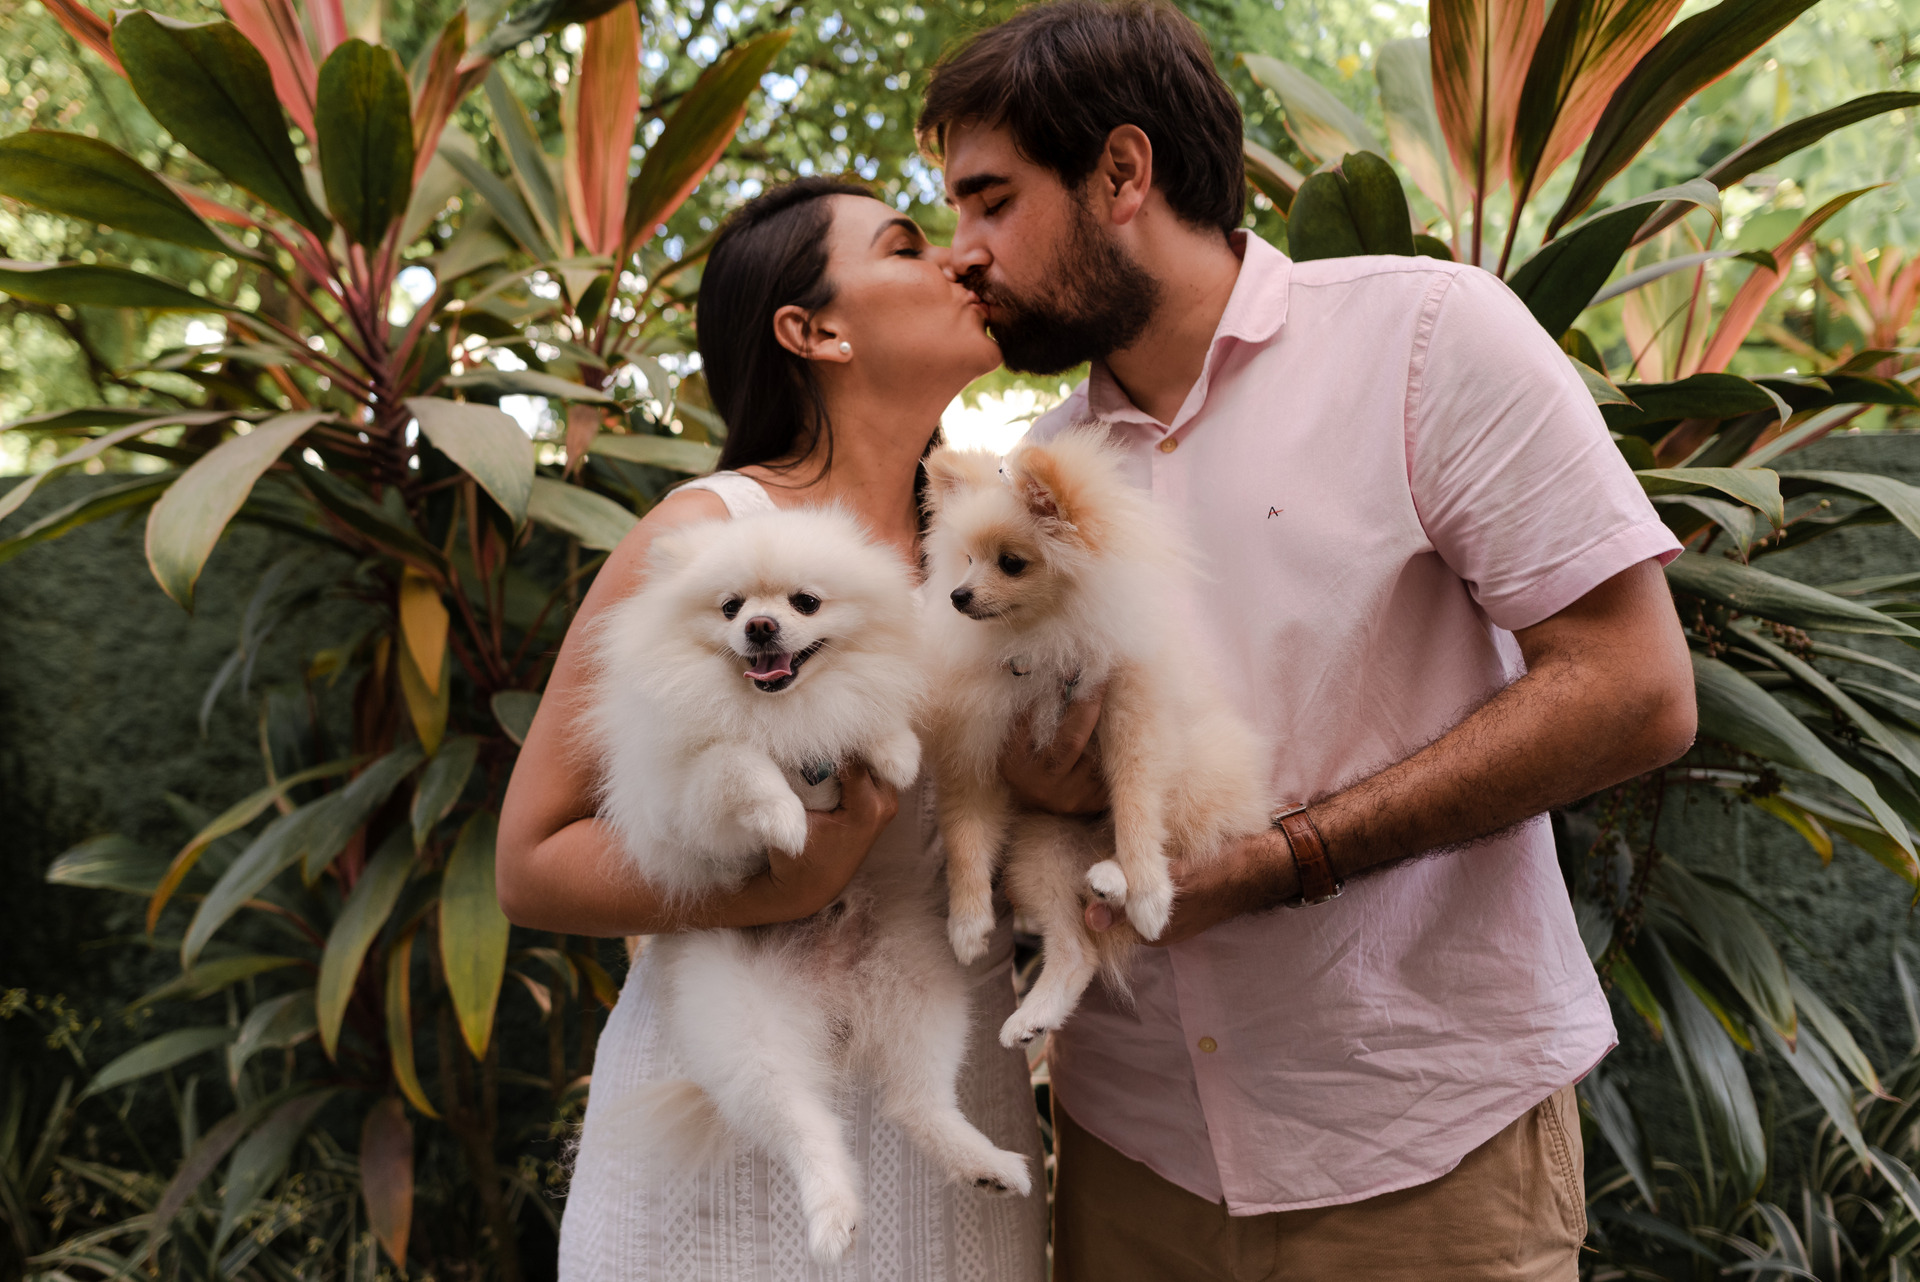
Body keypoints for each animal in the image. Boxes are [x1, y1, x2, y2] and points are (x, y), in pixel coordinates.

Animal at [922, 428, 1275, 1048]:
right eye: (964, 560)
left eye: (1010, 563)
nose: (958, 596)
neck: (1041, 638)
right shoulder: (973, 746)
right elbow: (965, 836)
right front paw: (966, 924)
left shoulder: (1134, 715)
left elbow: (1135, 802)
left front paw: (1151, 891)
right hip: (1038, 849)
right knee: (1074, 951)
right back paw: (1036, 1013)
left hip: (1197, 775)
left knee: (1187, 837)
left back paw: (1118, 876)